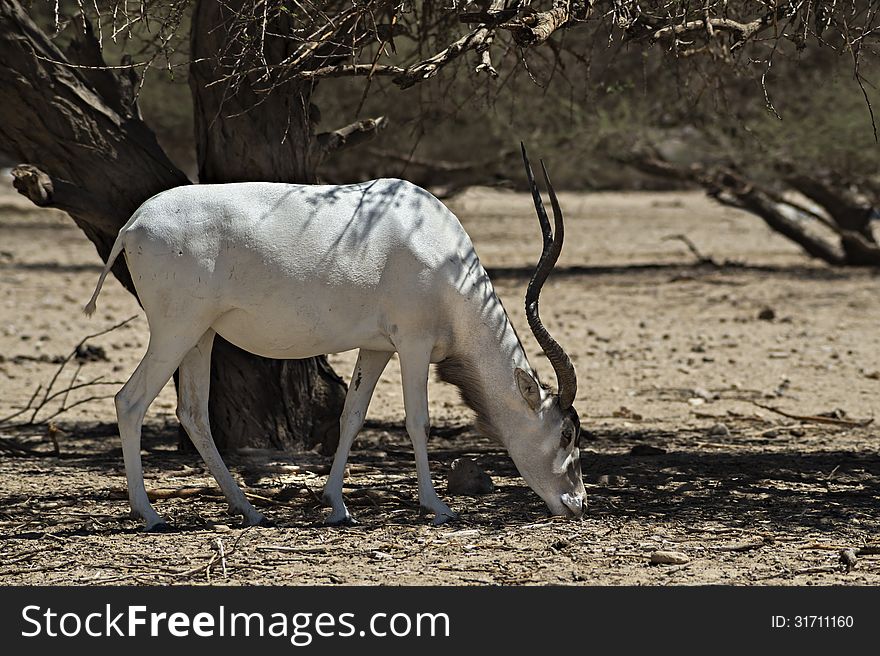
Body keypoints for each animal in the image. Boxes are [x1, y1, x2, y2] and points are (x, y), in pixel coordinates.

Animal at [86, 144, 588, 528]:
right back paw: (150, 514)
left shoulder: (376, 347)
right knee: (130, 401)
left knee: (193, 413)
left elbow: (352, 416)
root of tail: (133, 224)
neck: (433, 243)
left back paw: (250, 511)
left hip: (200, 334)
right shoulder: (413, 343)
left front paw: (337, 506)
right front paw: (437, 506)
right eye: (566, 433)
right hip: (176, 329)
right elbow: (417, 420)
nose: (577, 504)